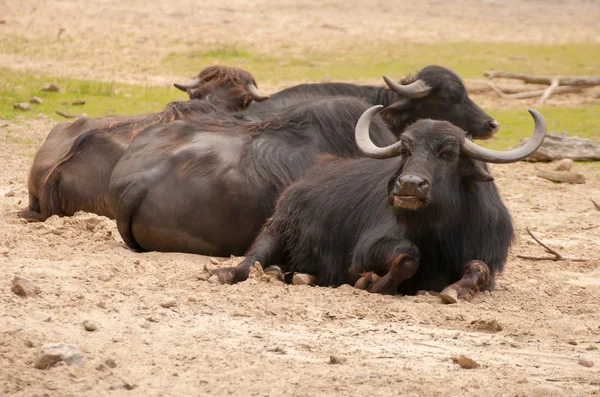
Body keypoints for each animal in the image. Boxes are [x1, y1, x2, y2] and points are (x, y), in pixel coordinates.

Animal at [213, 106, 548, 302]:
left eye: (449, 153)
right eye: (406, 150)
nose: (410, 184)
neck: (441, 230)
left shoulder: (488, 253)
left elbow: (479, 268)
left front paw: (455, 290)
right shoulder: (367, 248)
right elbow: (408, 256)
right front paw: (370, 282)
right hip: (277, 228)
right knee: (251, 258)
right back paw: (230, 273)